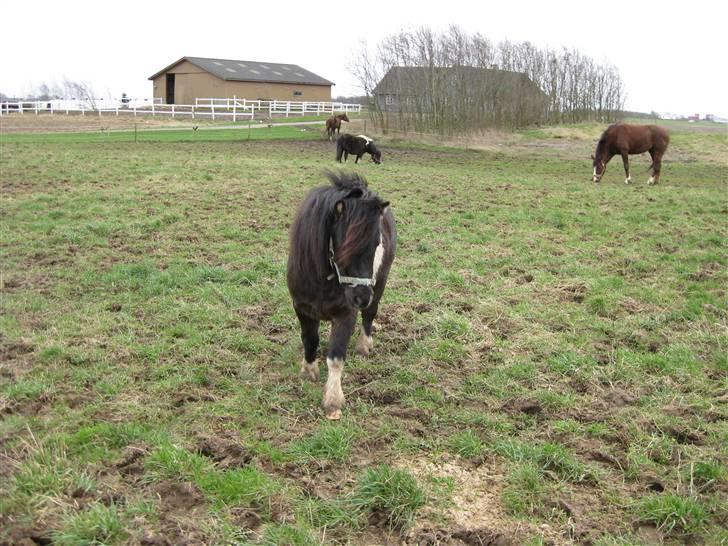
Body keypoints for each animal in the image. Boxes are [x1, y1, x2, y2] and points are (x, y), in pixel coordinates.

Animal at [286, 172, 398, 418]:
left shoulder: (347, 313)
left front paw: (333, 400)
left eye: (377, 244)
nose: (361, 297)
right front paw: (308, 370)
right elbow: (310, 339)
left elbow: (336, 356)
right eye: (343, 246)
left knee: (370, 315)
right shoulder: (302, 307)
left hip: (381, 282)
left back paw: (364, 345)